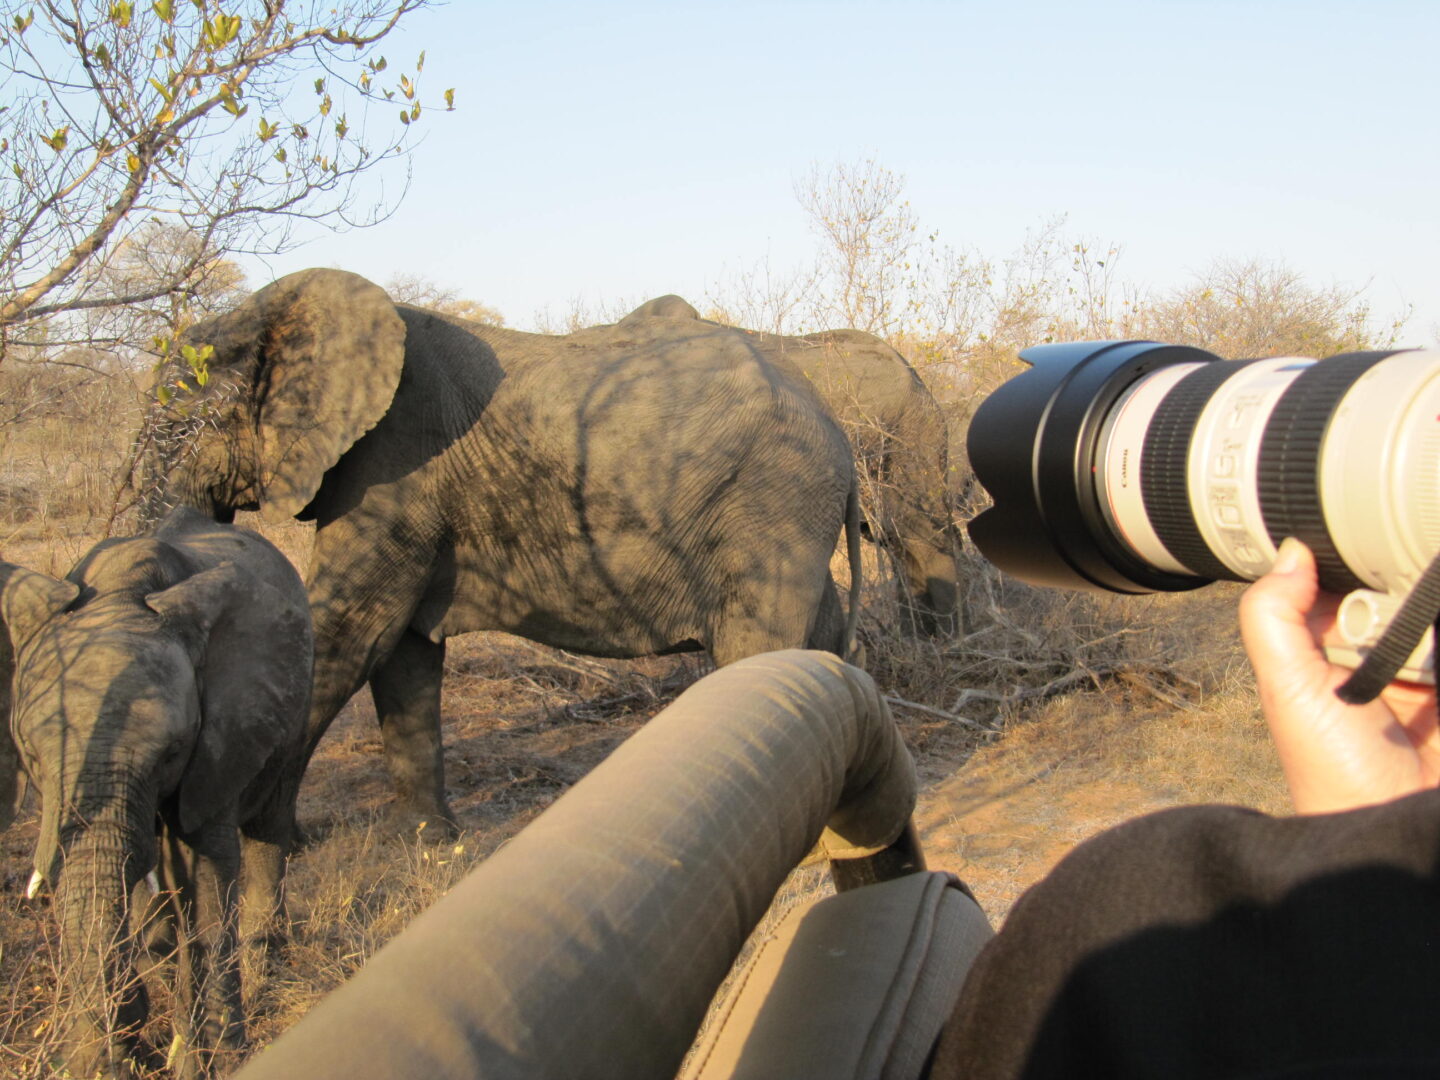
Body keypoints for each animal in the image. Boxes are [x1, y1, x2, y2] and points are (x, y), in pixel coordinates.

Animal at [0, 507, 312, 1078]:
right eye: (30, 754)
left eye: (171, 752)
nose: (108, 1057)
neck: (121, 591)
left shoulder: (220, 736)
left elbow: (208, 869)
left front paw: (215, 1059)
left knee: (265, 826)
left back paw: (261, 966)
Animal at [141, 268, 862, 834]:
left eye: (179, 425)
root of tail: (837, 430)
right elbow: (403, 651)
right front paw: (425, 842)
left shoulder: (392, 465)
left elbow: (349, 631)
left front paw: (266, 840)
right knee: (821, 637)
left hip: (772, 508)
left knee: (760, 651)